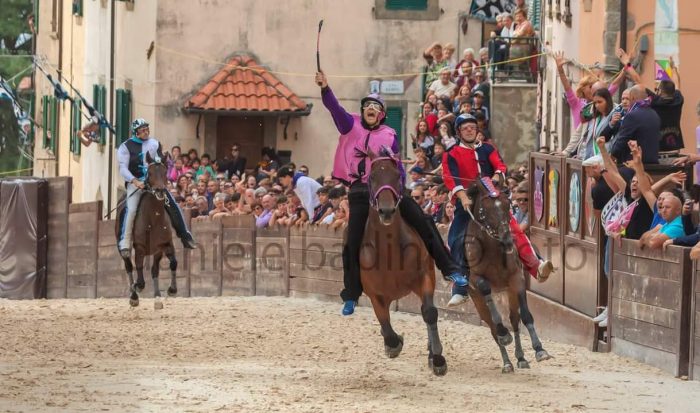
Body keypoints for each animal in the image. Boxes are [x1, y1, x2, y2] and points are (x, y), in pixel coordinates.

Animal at [115, 152, 178, 306]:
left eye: (165, 172)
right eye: (149, 172)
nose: (160, 190)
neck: (153, 218)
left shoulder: (163, 246)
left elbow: (170, 264)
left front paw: (169, 291)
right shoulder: (140, 247)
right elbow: (138, 269)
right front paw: (138, 286)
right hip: (123, 248)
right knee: (129, 266)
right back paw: (133, 296)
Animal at [360, 146, 448, 374]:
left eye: (397, 175)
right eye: (372, 177)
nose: (386, 210)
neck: (389, 251)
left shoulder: (424, 277)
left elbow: (429, 312)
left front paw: (437, 358)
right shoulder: (374, 294)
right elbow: (385, 323)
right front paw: (394, 343)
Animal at [464, 176, 552, 370]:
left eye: (507, 205)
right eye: (484, 210)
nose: (507, 239)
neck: (492, 249)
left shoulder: (516, 279)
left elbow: (525, 316)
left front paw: (540, 350)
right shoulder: (476, 279)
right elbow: (495, 315)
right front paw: (504, 335)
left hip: (509, 293)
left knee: (514, 320)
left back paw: (520, 358)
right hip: (478, 301)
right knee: (493, 328)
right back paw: (506, 362)